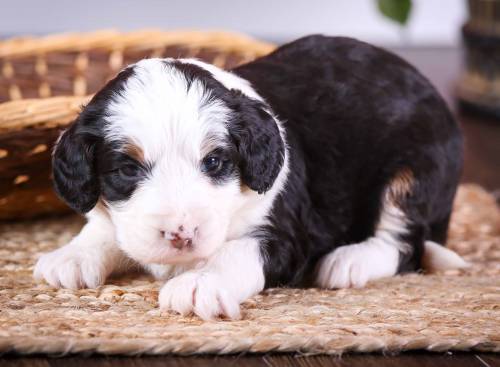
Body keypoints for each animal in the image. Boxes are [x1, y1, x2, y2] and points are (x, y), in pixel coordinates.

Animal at [33, 36, 466, 320]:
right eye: (127, 169)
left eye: (214, 162)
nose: (181, 234)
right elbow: (106, 227)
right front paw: (71, 256)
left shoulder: (288, 232)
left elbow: (234, 250)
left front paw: (199, 283)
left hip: (414, 175)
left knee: (404, 244)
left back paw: (350, 261)